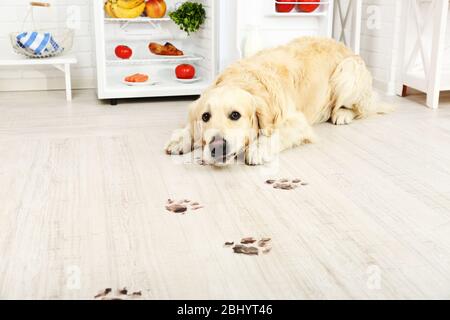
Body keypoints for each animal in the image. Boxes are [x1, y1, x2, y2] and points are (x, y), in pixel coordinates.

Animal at [164, 37, 390, 166]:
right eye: (205, 116)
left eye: (235, 115)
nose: (217, 147)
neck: (244, 80)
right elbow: (189, 127)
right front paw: (181, 138)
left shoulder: (298, 122)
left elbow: (276, 133)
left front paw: (257, 148)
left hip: (348, 71)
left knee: (361, 109)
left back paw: (342, 114)